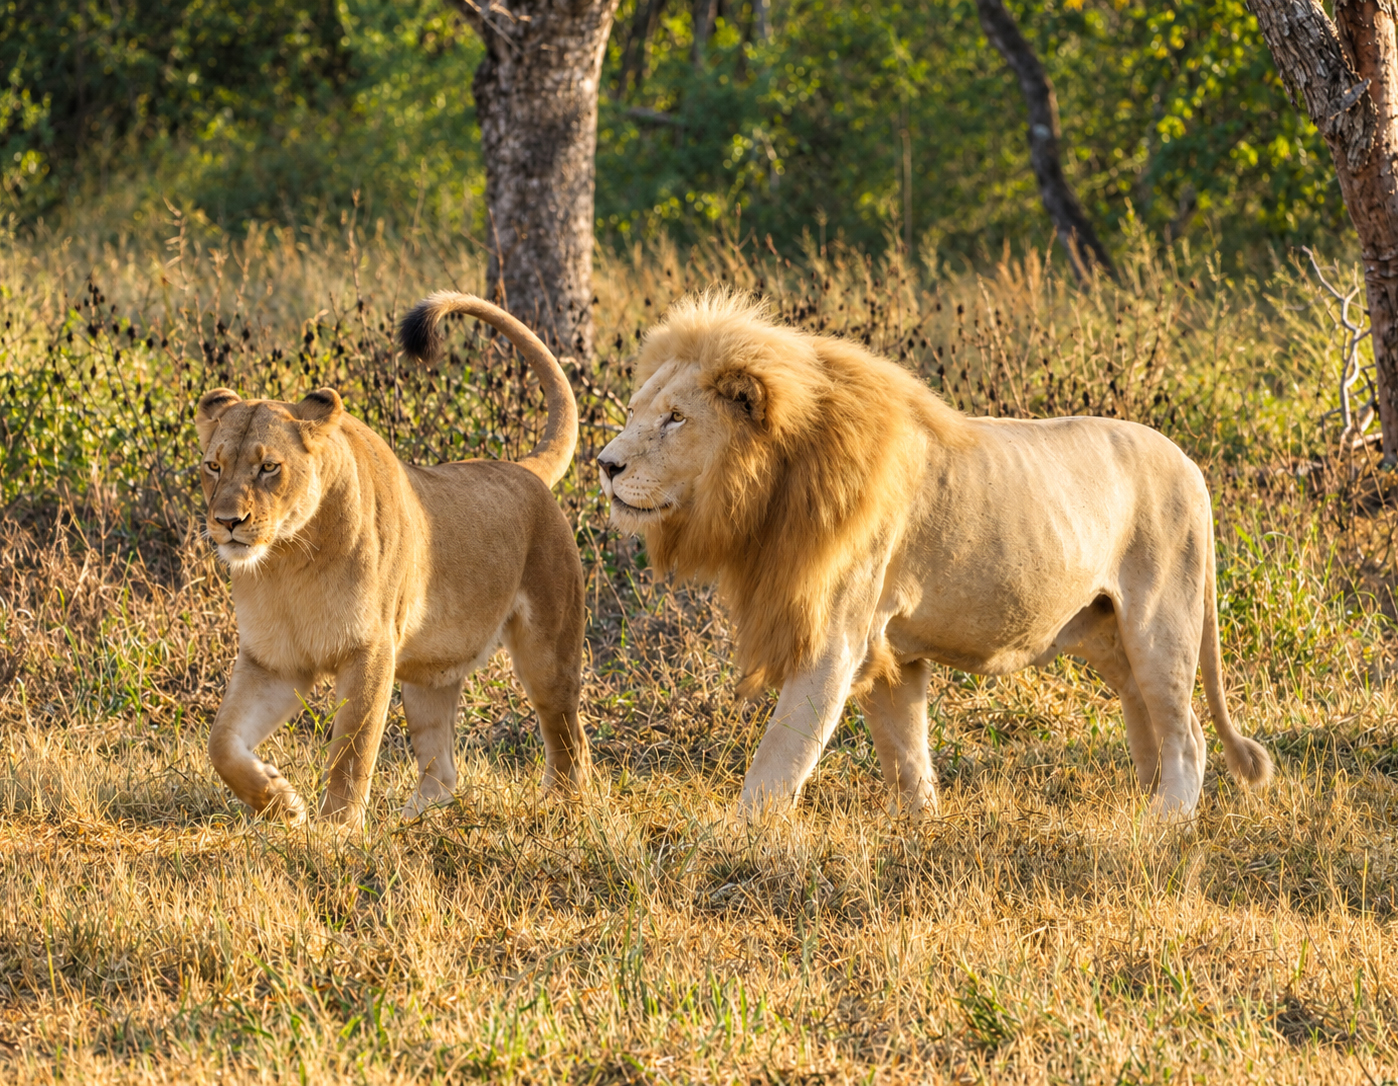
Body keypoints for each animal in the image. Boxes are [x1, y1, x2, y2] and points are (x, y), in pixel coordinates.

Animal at [195, 292, 589, 829]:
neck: (288, 560)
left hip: (549, 653)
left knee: (570, 734)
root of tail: (521, 469)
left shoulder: (370, 647)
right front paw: (280, 800)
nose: (227, 521)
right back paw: (417, 819)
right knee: (442, 765)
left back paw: (562, 807)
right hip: (429, 677)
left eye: (269, 467)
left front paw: (336, 828)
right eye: (213, 466)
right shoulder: (273, 660)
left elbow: (353, 748)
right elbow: (220, 742)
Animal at [597, 291, 1271, 821]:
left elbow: (780, 757)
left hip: (1161, 623)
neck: (773, 485)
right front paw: (920, 828)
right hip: (1110, 637)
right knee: (1158, 724)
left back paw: (1163, 825)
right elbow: (906, 752)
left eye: (675, 419)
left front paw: (733, 840)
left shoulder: (834, 639)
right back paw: (1144, 805)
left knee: (1188, 736)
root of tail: (1191, 465)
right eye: (633, 413)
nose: (605, 464)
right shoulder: (889, 650)